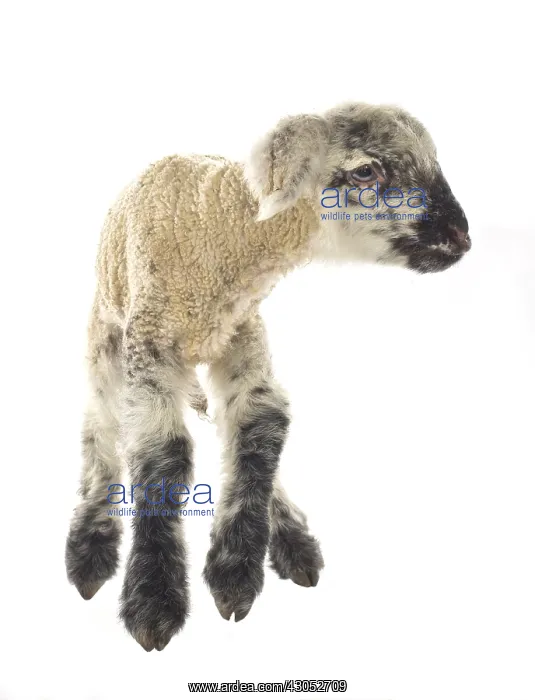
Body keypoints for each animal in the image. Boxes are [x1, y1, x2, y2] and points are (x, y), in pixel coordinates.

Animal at [65, 102, 471, 652]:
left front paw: (236, 572)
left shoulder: (244, 339)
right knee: (99, 424)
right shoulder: (149, 346)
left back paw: (291, 537)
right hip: (106, 334)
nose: (462, 236)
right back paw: (90, 543)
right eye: (366, 172)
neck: (224, 228)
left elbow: (261, 430)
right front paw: (154, 600)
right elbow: (162, 455)